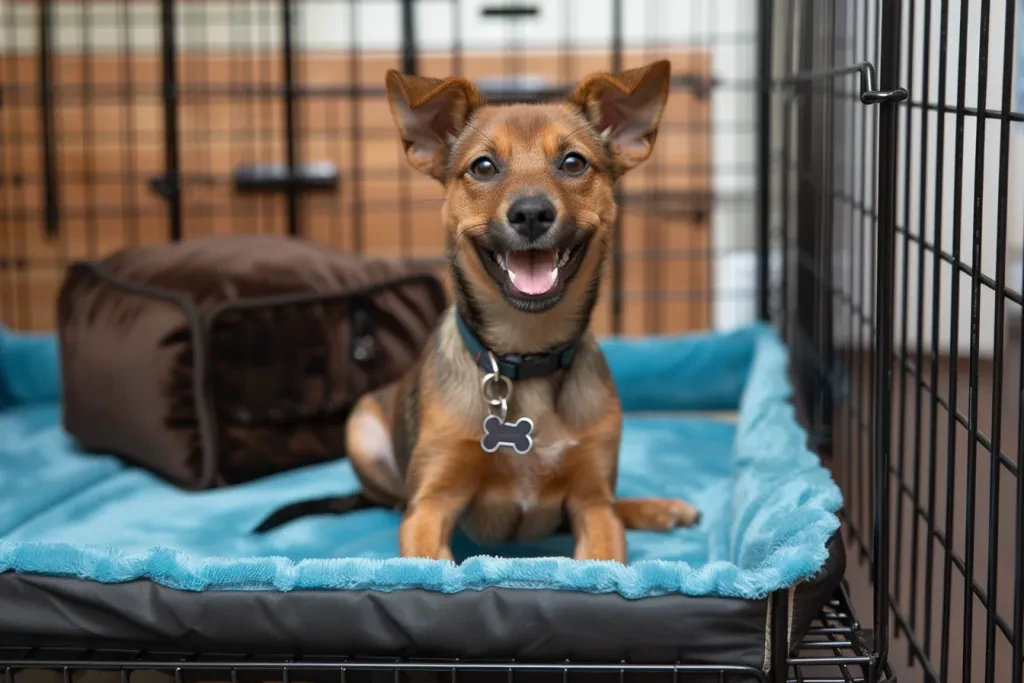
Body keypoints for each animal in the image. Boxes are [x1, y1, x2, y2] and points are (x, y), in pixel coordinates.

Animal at [260, 60, 700, 561]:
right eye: (484, 167)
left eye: (573, 162)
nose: (531, 213)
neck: (525, 353)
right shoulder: (431, 504)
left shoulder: (593, 503)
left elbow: (604, 540)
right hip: (362, 427)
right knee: (393, 498)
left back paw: (660, 507)